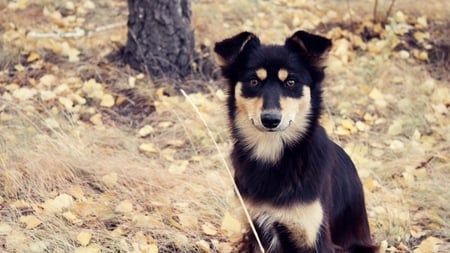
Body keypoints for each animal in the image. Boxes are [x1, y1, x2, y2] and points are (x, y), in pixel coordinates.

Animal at [214, 30, 376, 253]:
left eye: (290, 82)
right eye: (254, 82)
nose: (270, 119)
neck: (272, 152)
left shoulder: (315, 238)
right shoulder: (253, 229)